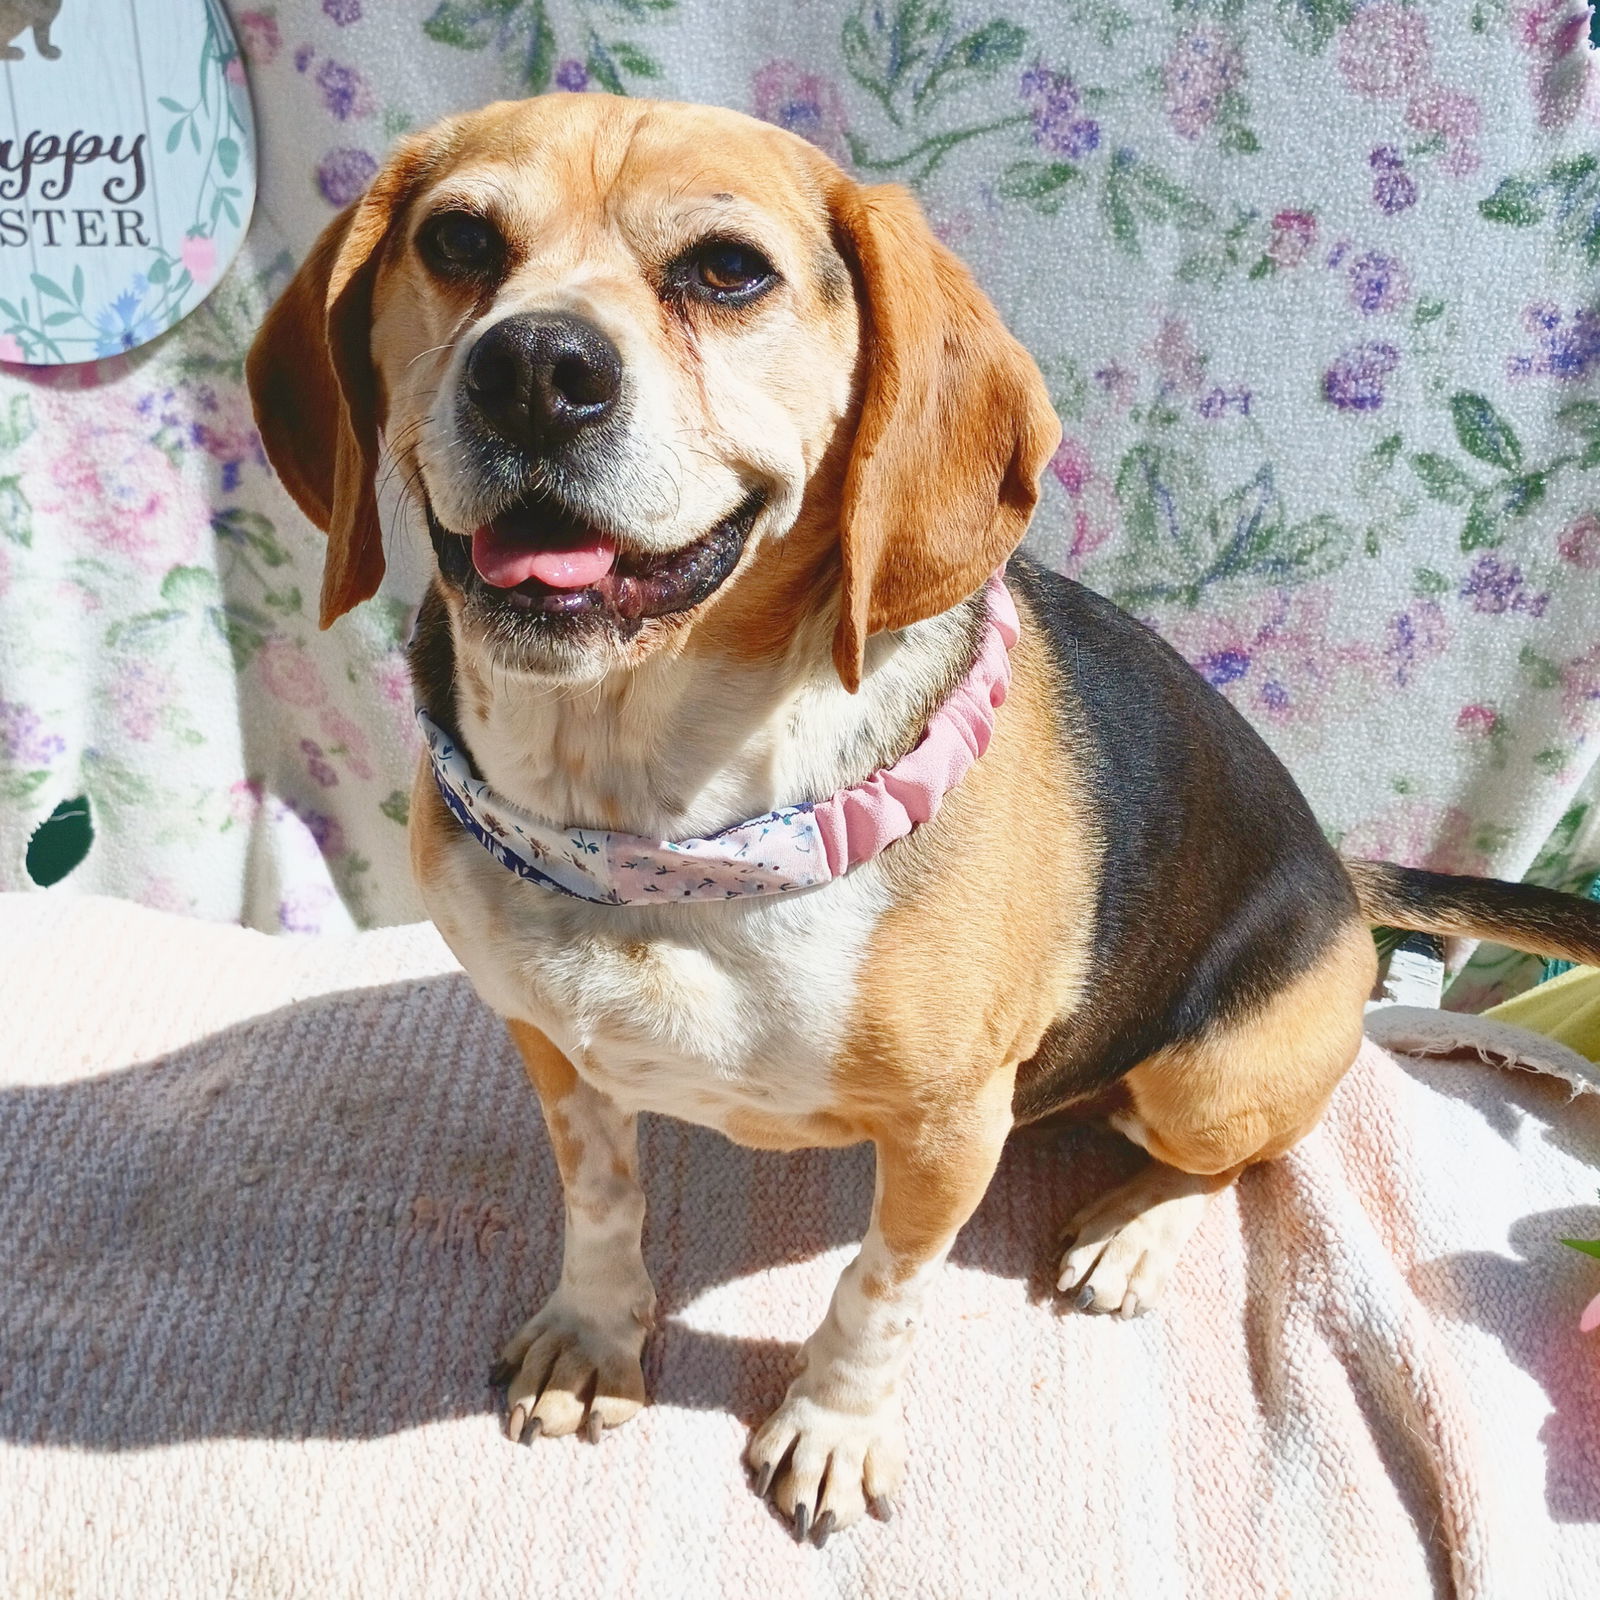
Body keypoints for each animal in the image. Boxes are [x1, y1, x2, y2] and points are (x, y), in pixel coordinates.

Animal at [246, 96, 1600, 1536]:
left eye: (727, 270)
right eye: (456, 240)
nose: (534, 368)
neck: (657, 821)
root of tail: (1343, 873)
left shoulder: (953, 1133)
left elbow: (877, 1290)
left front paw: (833, 1425)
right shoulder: (555, 1050)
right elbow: (605, 1203)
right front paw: (595, 1335)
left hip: (1204, 1079)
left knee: (1240, 1158)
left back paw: (1133, 1231)